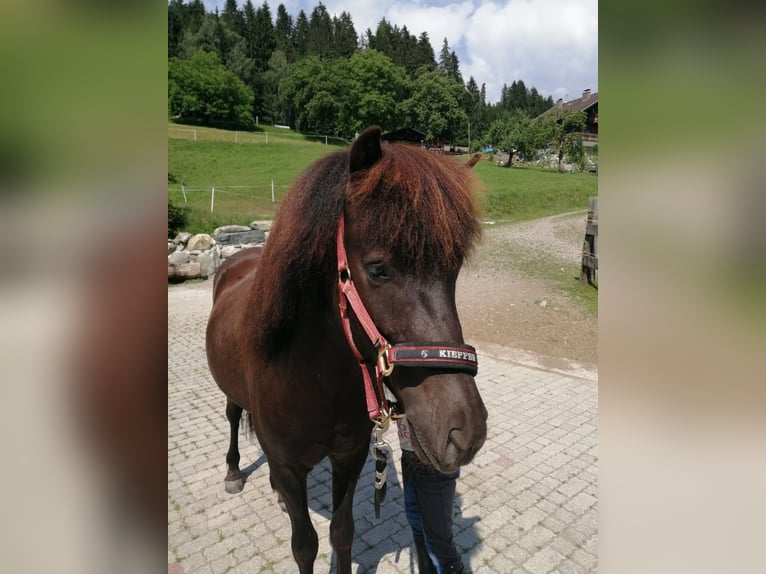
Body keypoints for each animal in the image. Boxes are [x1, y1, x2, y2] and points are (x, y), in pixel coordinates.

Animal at [205, 126, 488, 573]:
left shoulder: (349, 459)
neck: (316, 381)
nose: (465, 430)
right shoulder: (289, 467)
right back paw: (234, 471)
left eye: (454, 269)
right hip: (231, 392)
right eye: (378, 270)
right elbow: (305, 545)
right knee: (233, 415)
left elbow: (342, 533)